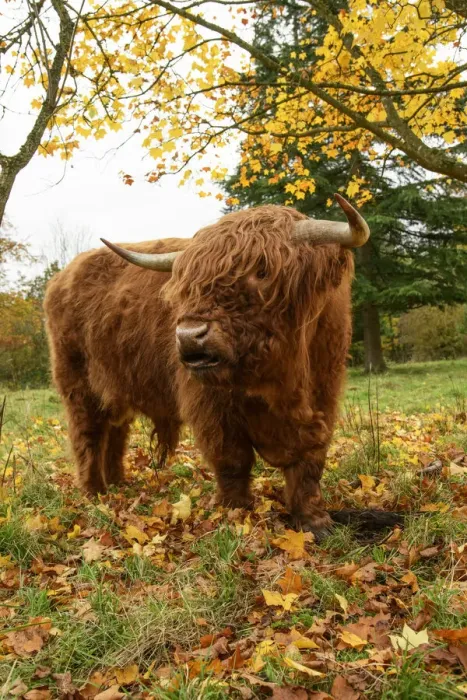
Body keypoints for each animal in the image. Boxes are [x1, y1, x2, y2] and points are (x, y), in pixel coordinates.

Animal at [44, 194, 369, 539]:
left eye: (263, 271)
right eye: (188, 282)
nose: (189, 336)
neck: (284, 382)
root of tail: (62, 278)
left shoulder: (324, 393)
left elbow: (309, 461)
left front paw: (314, 521)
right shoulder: (212, 406)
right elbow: (232, 459)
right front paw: (236, 512)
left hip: (116, 386)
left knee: (115, 431)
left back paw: (118, 484)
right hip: (77, 384)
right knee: (88, 434)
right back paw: (94, 492)